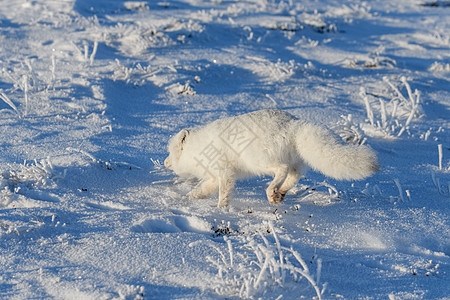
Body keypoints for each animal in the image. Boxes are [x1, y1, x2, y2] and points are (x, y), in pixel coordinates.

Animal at [163, 109, 378, 207]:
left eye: (170, 152)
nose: (165, 162)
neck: (197, 147)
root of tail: (294, 125)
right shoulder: (213, 178)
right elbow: (200, 191)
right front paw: (187, 199)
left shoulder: (224, 172)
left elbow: (223, 193)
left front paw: (220, 209)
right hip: (295, 162)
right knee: (294, 175)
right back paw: (280, 192)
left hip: (258, 161)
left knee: (281, 169)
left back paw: (271, 192)